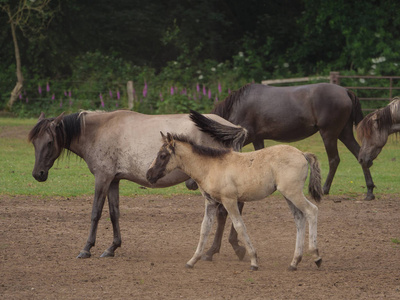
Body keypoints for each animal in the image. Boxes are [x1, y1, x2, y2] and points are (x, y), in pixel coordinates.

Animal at [28, 109, 247, 258]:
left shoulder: (102, 178)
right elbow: (114, 213)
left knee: (224, 212)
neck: (99, 130)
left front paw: (86, 248)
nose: (38, 174)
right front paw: (112, 247)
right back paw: (234, 247)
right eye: (34, 143)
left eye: (49, 142)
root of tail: (231, 127)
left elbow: (95, 213)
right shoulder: (113, 181)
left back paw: (215, 251)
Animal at [146, 132, 322, 270]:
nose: (149, 175)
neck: (210, 167)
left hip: (292, 192)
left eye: (162, 155)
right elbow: (204, 229)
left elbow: (239, 226)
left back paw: (316, 256)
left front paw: (254, 261)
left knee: (312, 211)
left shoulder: (229, 200)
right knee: (299, 219)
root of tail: (302, 153)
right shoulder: (210, 203)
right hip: (288, 195)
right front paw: (192, 261)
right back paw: (294, 262)